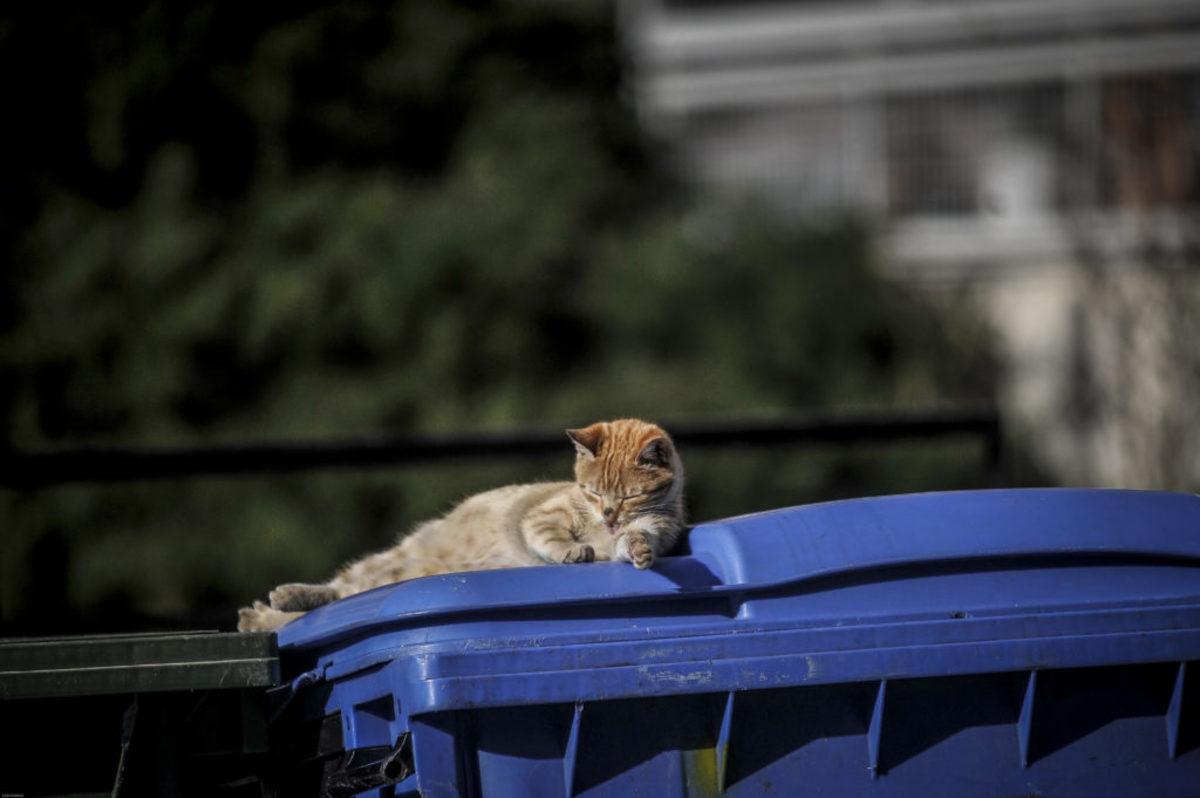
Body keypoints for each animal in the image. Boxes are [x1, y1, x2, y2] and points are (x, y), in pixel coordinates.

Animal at [235, 420, 686, 633]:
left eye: (628, 496)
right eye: (593, 492)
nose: (609, 516)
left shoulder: (656, 528)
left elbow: (637, 540)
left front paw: (634, 547)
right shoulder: (541, 515)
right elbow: (551, 537)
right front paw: (572, 550)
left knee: (345, 596)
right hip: (387, 563)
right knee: (340, 588)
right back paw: (275, 604)